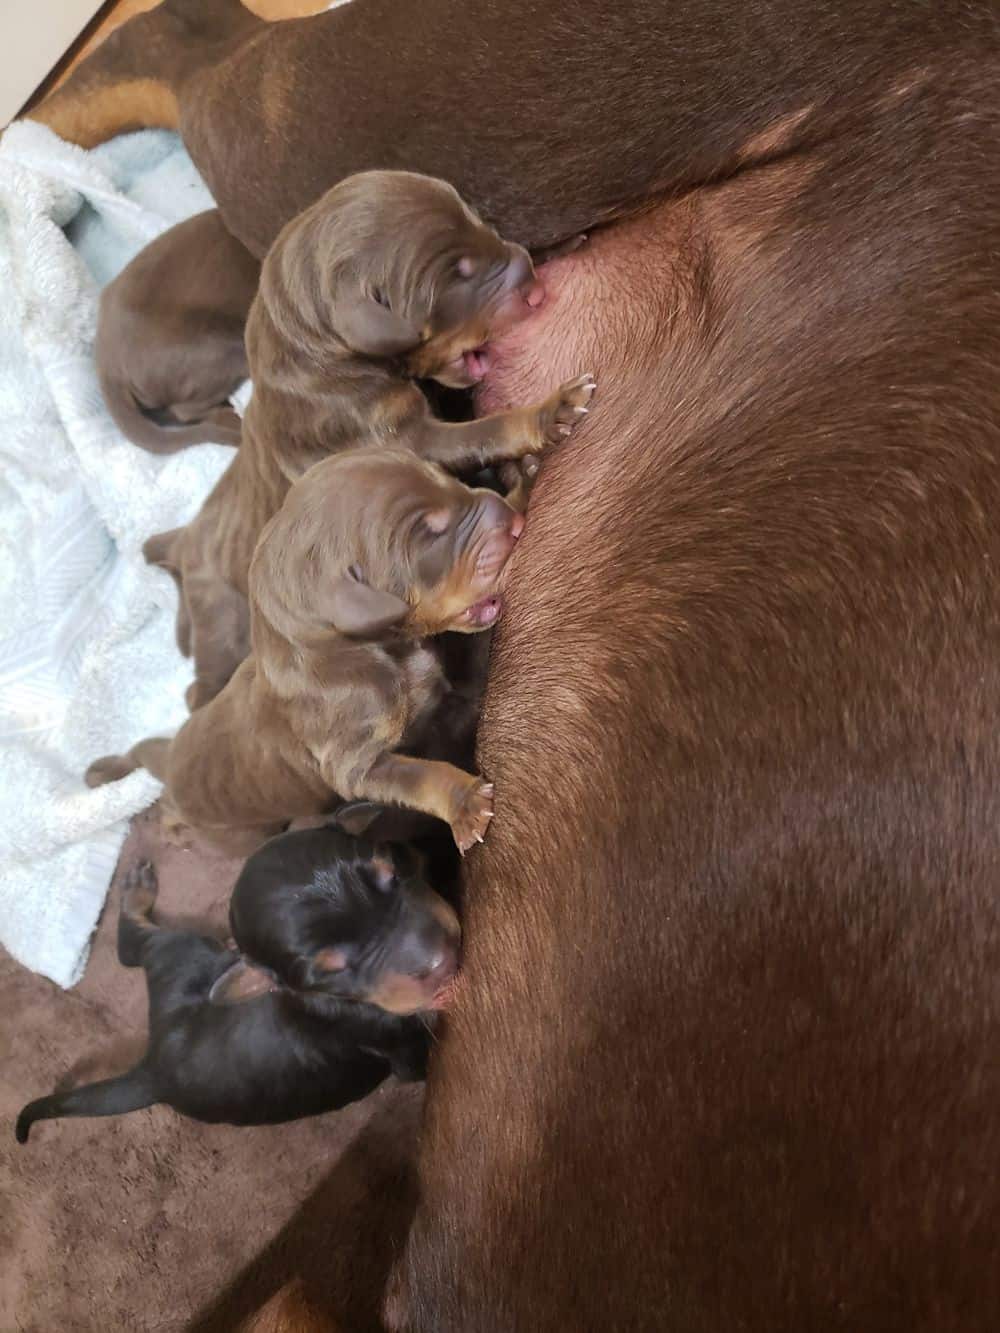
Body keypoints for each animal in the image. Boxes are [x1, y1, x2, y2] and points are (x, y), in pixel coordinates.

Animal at [13, 831, 461, 1135]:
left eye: (393, 874)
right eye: (331, 970)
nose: (439, 958)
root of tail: (153, 1066)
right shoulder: (396, 1041)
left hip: (175, 962)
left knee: (137, 950)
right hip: (185, 952)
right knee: (132, 946)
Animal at [86, 442, 536, 847]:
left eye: (451, 479)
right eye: (432, 533)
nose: (513, 522)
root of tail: (171, 759)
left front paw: (525, 484)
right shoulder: (354, 760)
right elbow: (417, 775)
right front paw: (465, 804)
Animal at [142, 166, 594, 709]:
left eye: (480, 225)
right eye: (457, 278)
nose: (531, 286)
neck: (321, 348)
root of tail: (184, 541)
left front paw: (561, 242)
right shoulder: (390, 431)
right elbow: (478, 433)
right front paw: (549, 414)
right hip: (224, 626)